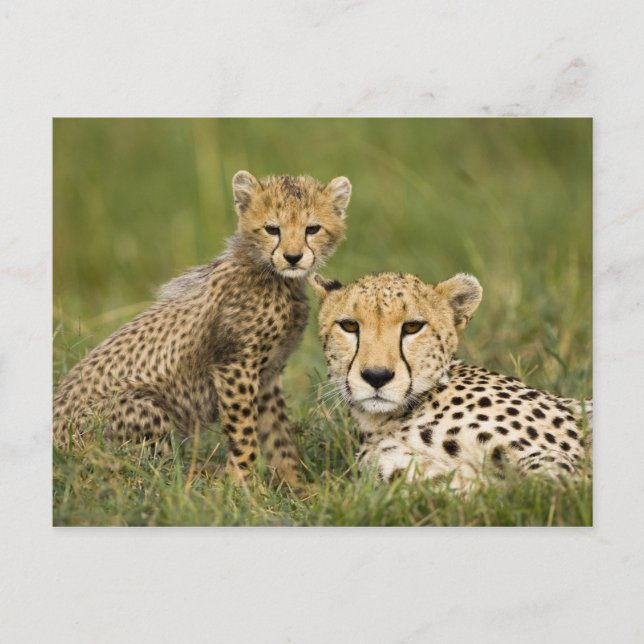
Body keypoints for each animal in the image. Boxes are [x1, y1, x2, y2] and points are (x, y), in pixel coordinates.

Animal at [53, 170, 351, 487]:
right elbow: (244, 432)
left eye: (312, 229)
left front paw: (297, 485)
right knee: (150, 471)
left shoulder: (267, 376)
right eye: (272, 229)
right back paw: (207, 476)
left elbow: (278, 436)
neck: (273, 276)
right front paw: (243, 485)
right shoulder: (235, 367)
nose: (293, 257)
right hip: (142, 407)